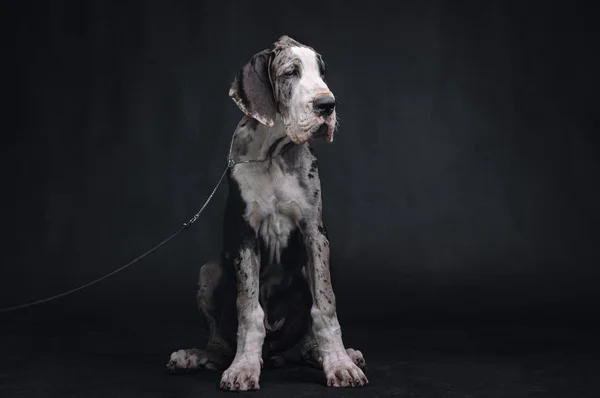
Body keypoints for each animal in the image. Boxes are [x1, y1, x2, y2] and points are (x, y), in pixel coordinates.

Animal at [166, 35, 368, 390]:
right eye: (290, 73)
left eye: (322, 72)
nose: (327, 105)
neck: (272, 154)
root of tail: (273, 352)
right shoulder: (245, 237)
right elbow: (249, 311)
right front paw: (243, 367)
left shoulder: (315, 234)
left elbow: (325, 305)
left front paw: (340, 363)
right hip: (209, 270)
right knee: (219, 344)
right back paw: (193, 356)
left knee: (306, 340)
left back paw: (331, 354)